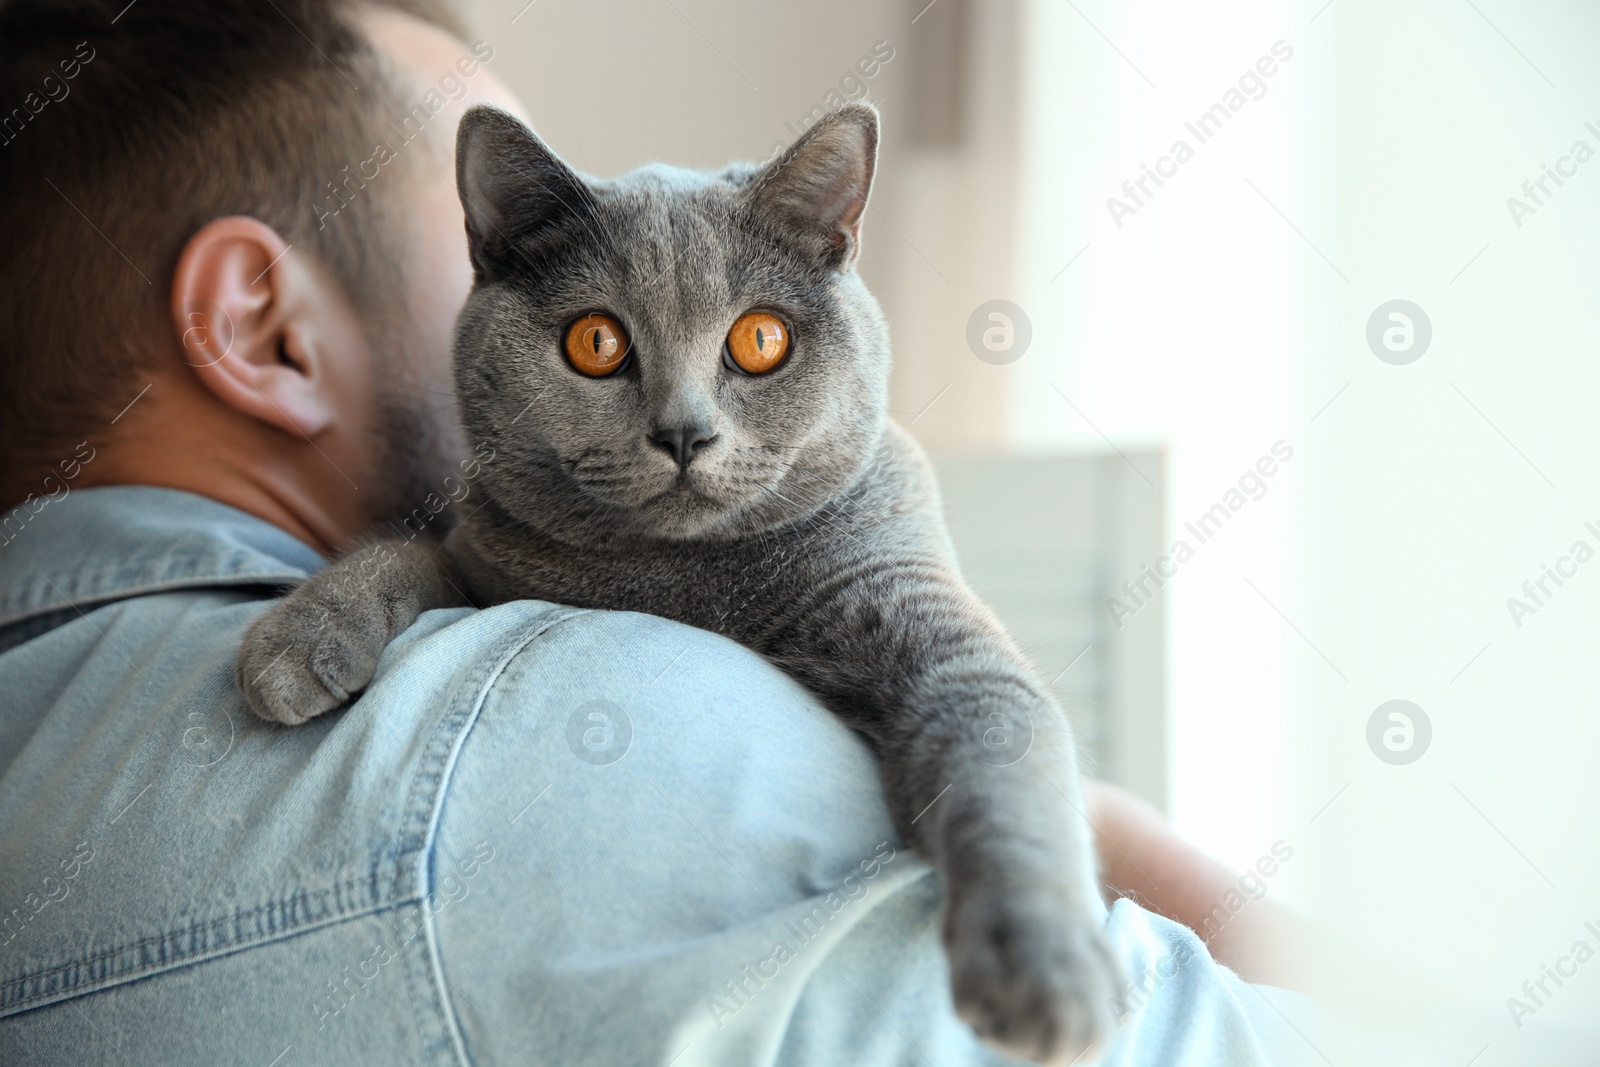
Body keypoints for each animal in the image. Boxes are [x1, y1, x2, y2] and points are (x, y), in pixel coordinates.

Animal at [236, 103, 1126, 1062]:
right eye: (596, 342)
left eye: (761, 339)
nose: (684, 433)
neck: (681, 578)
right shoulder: (487, 564)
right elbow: (402, 553)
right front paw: (295, 641)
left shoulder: (915, 609)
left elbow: (999, 741)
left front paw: (1045, 969)